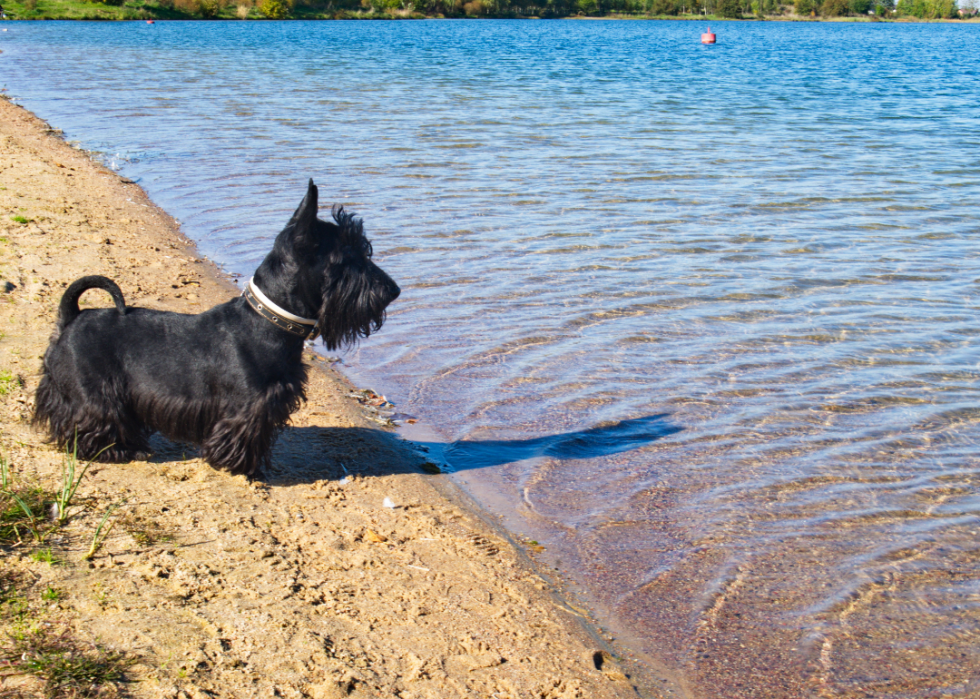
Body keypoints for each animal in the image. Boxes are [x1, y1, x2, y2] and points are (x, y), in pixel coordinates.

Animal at [33, 179, 402, 476]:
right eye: (346, 257)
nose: (393, 290)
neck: (266, 322)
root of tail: (72, 315)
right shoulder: (247, 408)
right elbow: (243, 435)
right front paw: (243, 467)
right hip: (91, 393)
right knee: (89, 420)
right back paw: (113, 450)